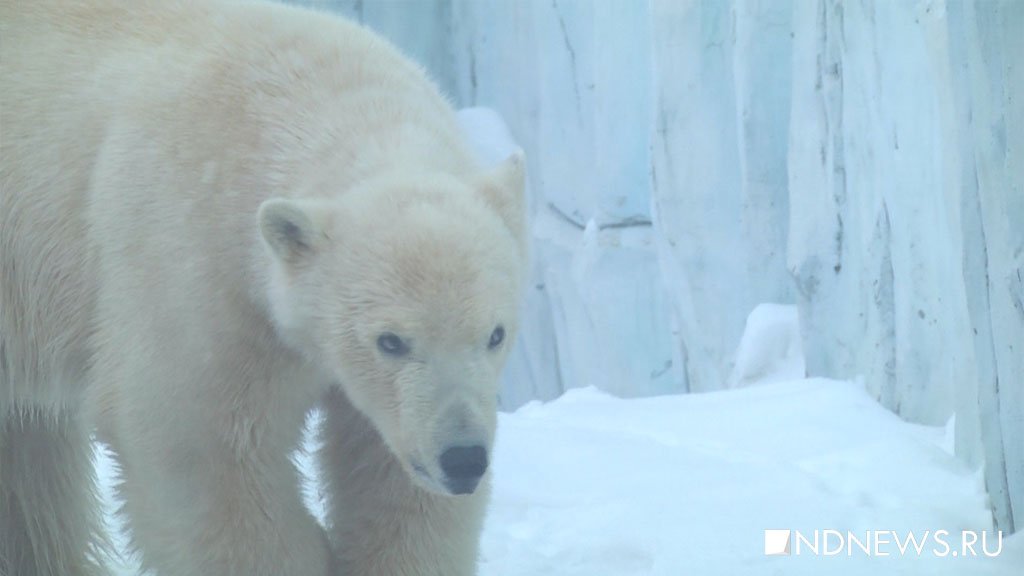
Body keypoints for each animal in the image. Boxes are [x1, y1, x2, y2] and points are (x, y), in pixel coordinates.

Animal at [0, 1, 524, 573]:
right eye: (390, 341)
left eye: (495, 335)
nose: (464, 458)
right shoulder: (196, 266)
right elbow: (199, 445)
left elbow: (392, 480)